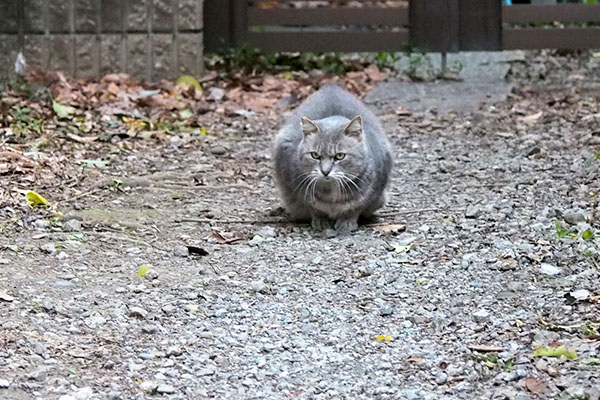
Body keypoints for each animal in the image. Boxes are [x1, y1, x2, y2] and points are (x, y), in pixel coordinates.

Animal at [272, 86, 394, 233]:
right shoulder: (297, 189)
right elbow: (314, 208)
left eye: (339, 156)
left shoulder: (371, 194)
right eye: (315, 155)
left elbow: (355, 208)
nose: (325, 171)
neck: (330, 192)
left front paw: (347, 222)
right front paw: (320, 221)